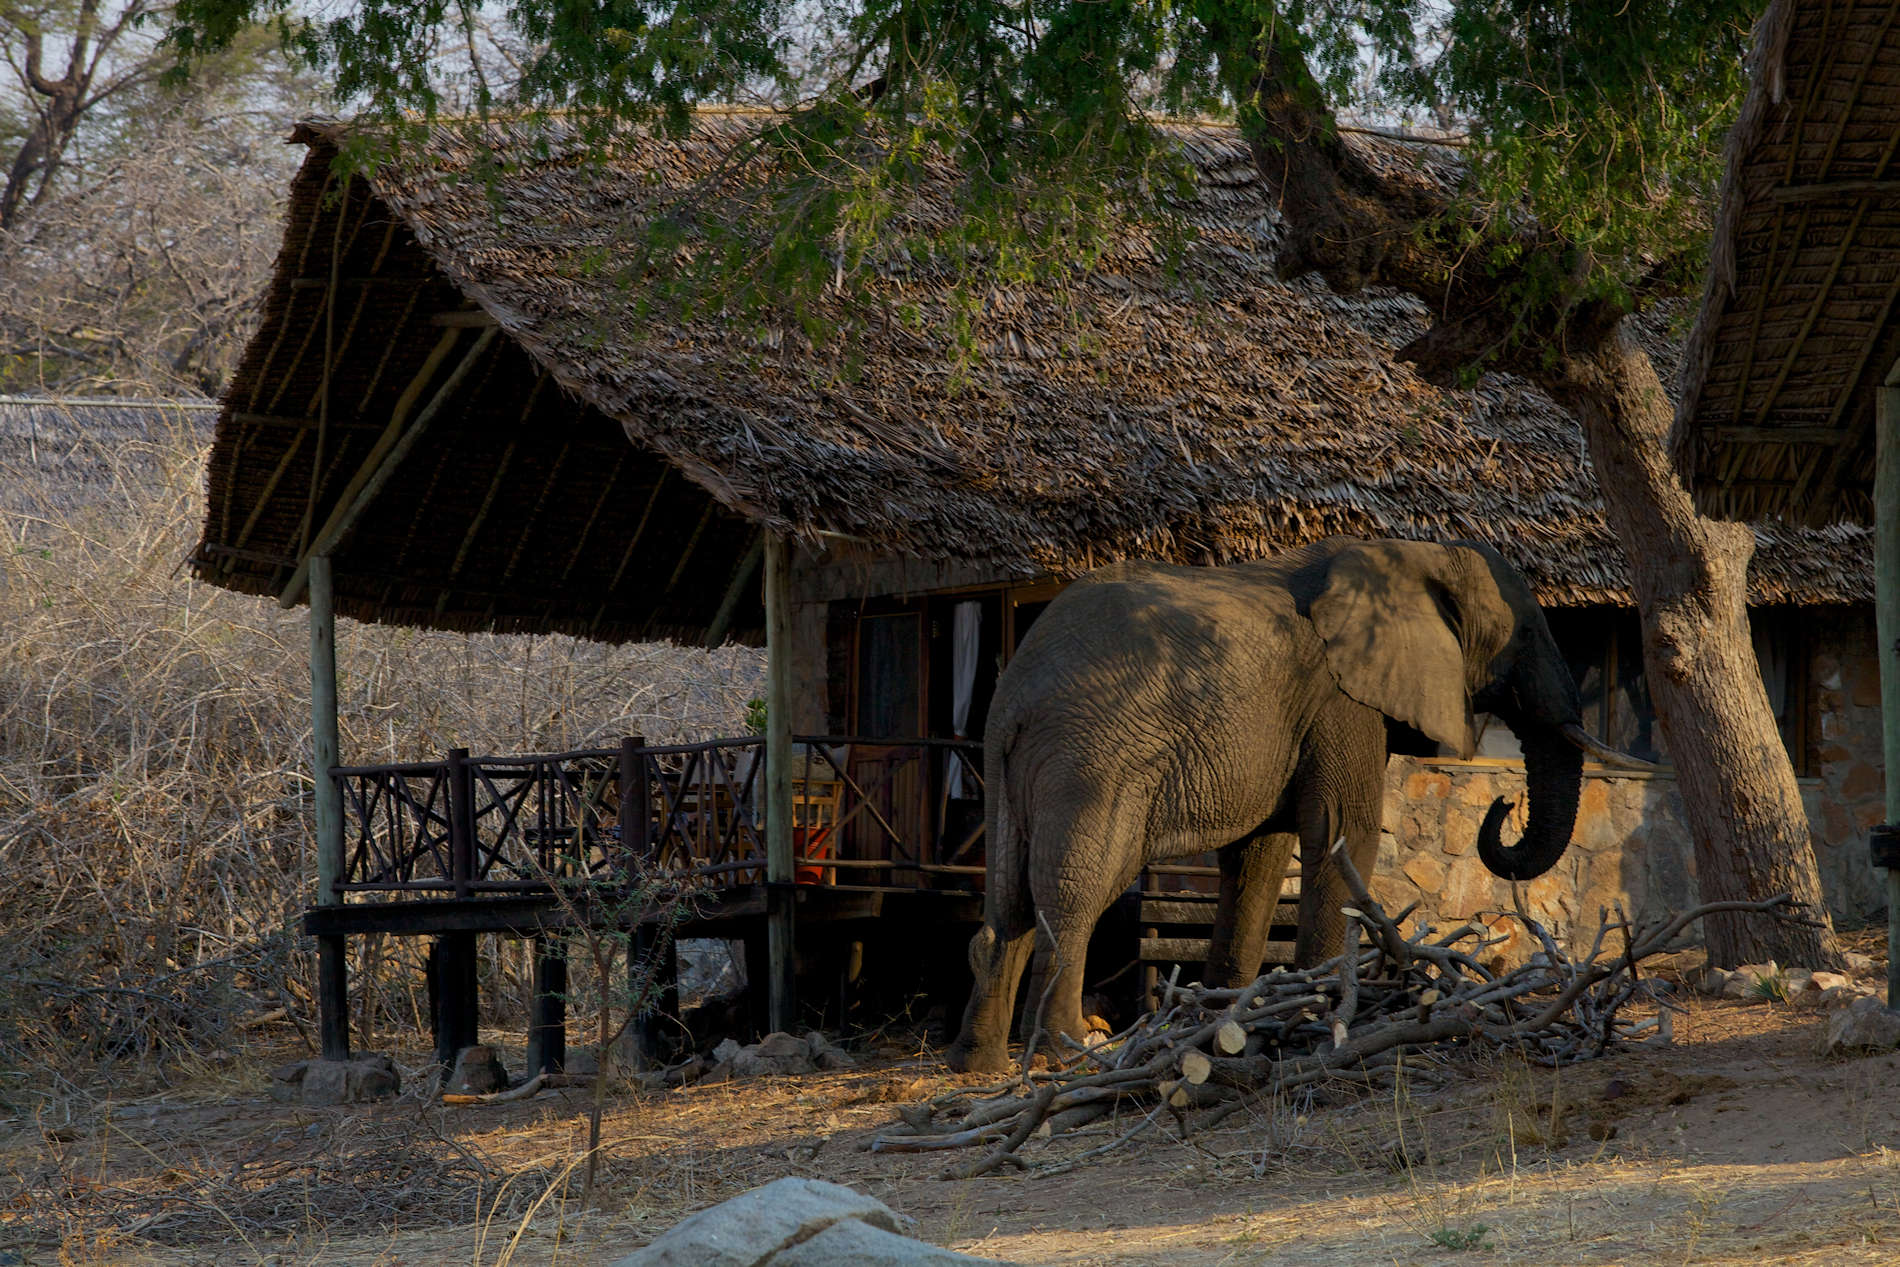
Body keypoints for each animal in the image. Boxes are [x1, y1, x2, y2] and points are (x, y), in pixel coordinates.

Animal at [942, 531, 1641, 1078]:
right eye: (1522, 636)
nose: (1503, 801)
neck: (1412, 551)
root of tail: (1016, 692)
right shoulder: (1342, 699)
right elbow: (1341, 830)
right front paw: (1323, 1008)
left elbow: (1258, 858)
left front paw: (1226, 1018)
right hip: (1094, 759)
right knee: (1074, 893)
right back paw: (1068, 1051)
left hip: (1015, 764)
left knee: (1008, 902)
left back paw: (979, 1063)